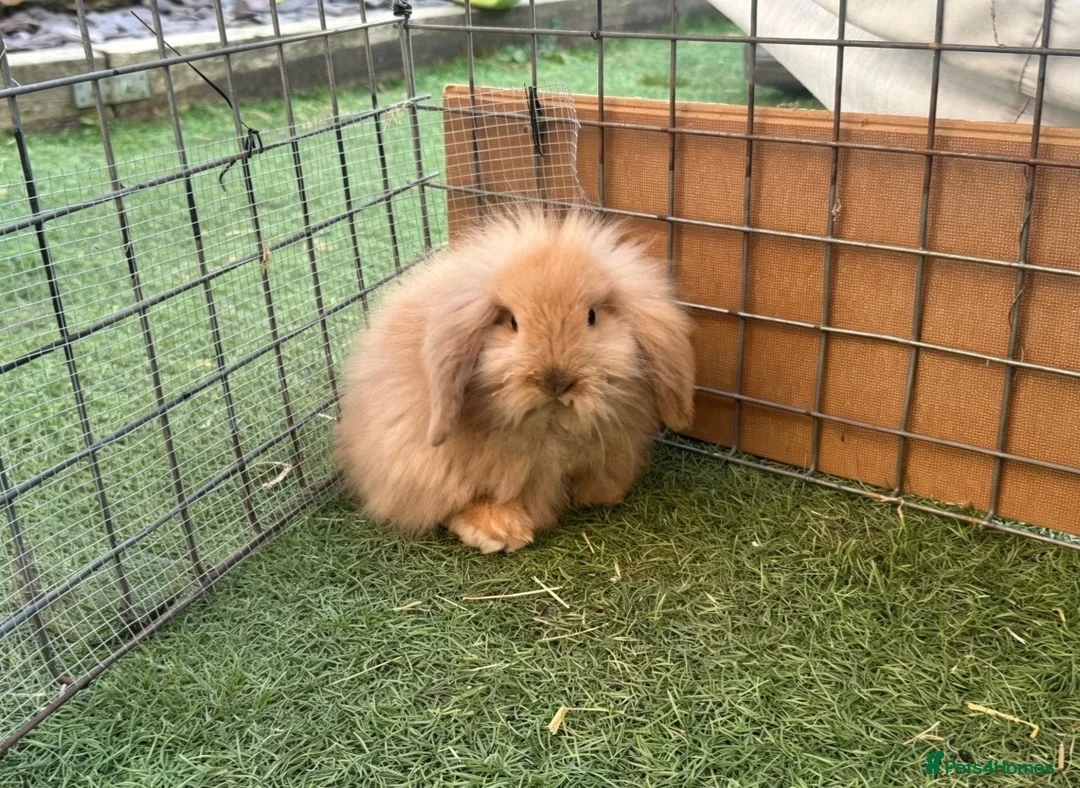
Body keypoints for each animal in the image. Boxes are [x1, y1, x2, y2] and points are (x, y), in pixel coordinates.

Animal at [335, 207, 695, 554]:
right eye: (513, 322)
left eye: (592, 316)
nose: (556, 381)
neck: (551, 425)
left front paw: (605, 495)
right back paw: (500, 530)